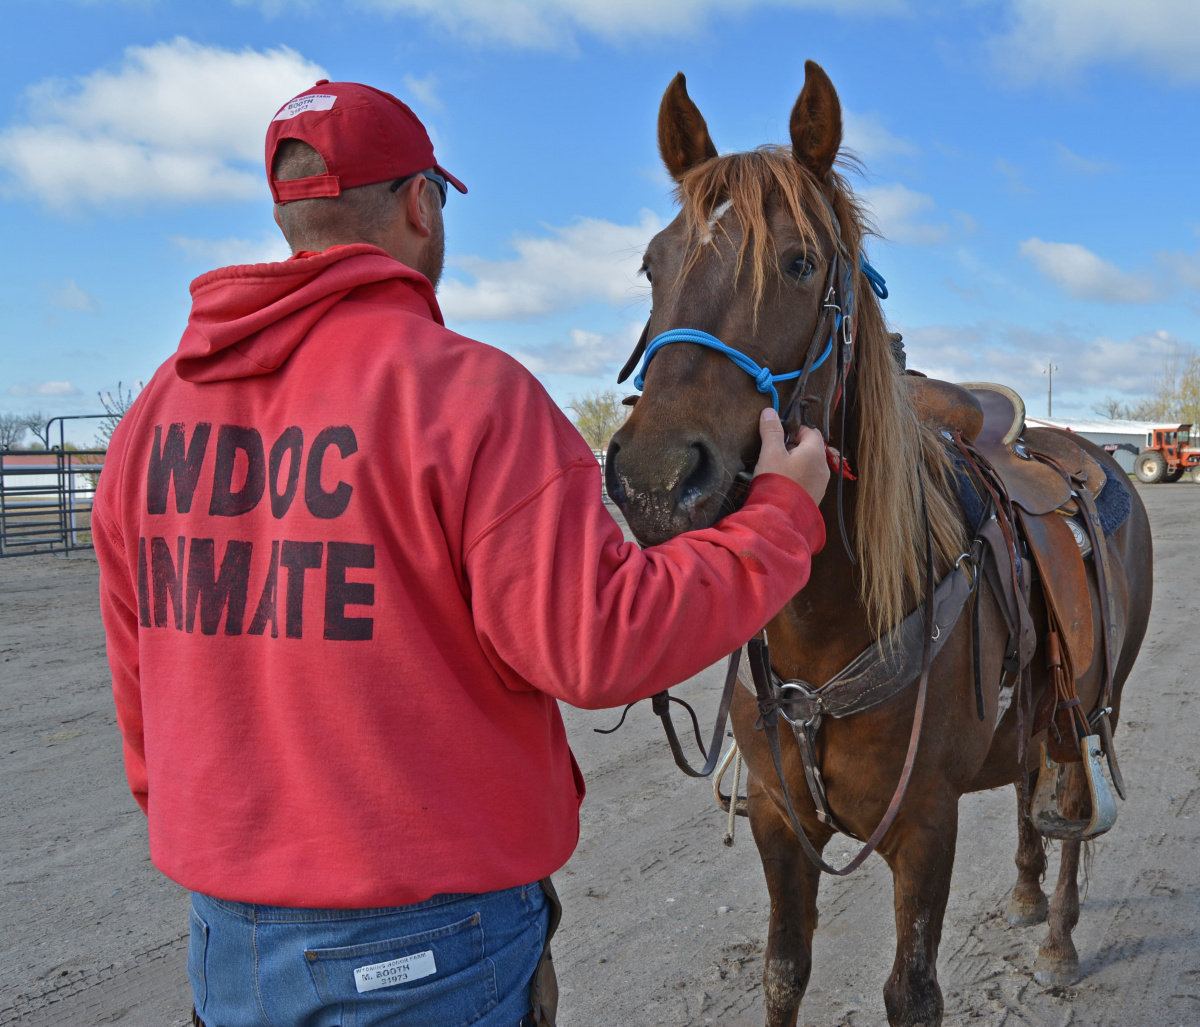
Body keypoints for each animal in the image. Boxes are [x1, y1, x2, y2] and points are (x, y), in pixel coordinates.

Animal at [604, 60, 1156, 1022]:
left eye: (798, 262)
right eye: (651, 265)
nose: (654, 478)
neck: (828, 632)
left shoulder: (925, 827)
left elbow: (913, 990)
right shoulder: (781, 825)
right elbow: (783, 969)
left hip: (1101, 697)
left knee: (1071, 811)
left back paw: (1056, 934)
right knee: (1028, 782)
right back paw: (1024, 891)